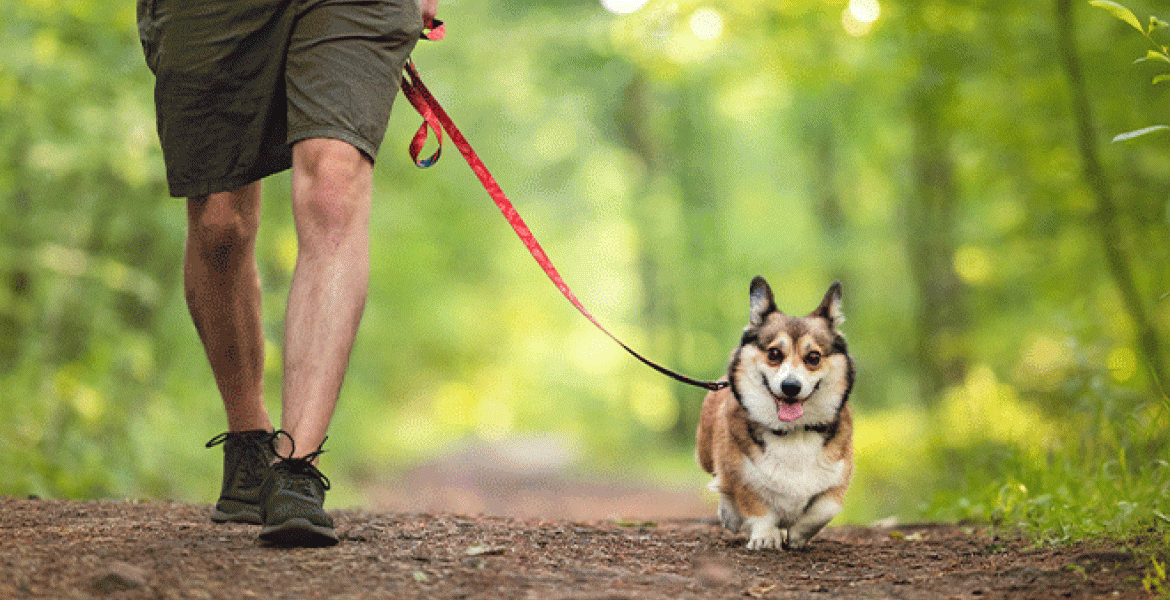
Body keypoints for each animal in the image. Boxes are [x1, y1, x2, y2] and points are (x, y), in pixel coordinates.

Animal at [687, 276, 856, 547]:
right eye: (774, 353)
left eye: (813, 357)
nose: (790, 386)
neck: (793, 432)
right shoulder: (741, 475)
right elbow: (754, 504)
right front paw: (766, 537)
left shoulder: (838, 476)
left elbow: (824, 510)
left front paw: (796, 536)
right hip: (705, 453)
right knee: (719, 481)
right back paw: (729, 516)